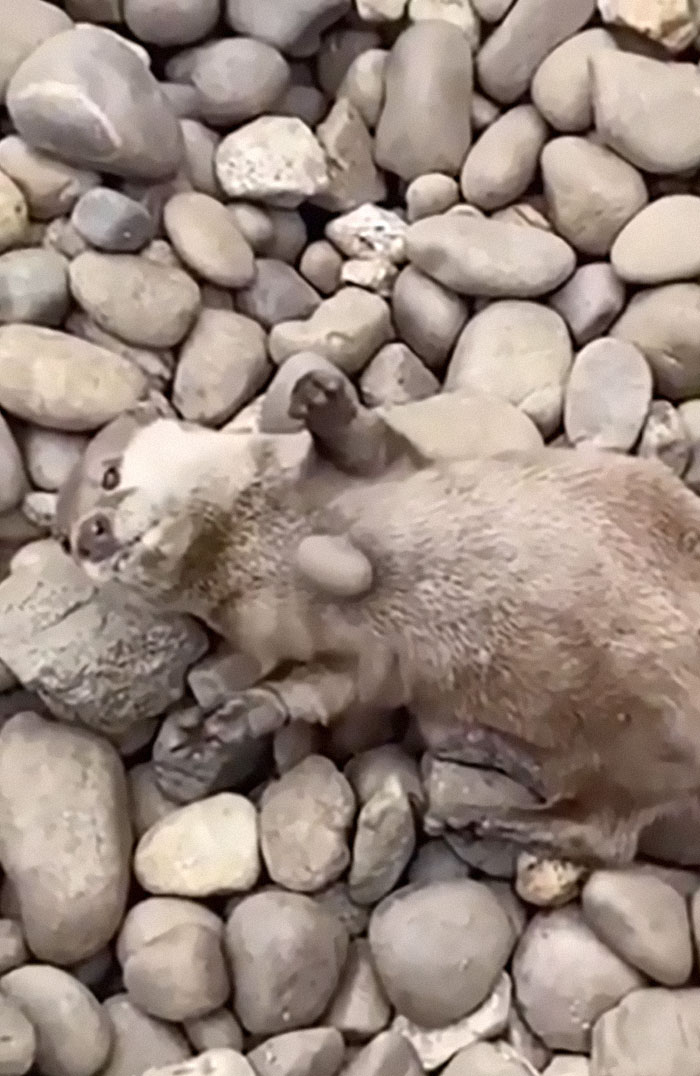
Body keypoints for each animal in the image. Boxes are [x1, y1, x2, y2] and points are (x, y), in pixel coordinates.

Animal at [55, 369, 700, 865]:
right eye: (63, 543)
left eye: (109, 474)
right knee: (604, 829)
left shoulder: (373, 476)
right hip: (622, 768)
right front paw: (226, 722)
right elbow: (325, 691)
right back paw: (482, 808)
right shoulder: (328, 654)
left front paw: (322, 399)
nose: (89, 535)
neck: (257, 542)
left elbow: (371, 445)